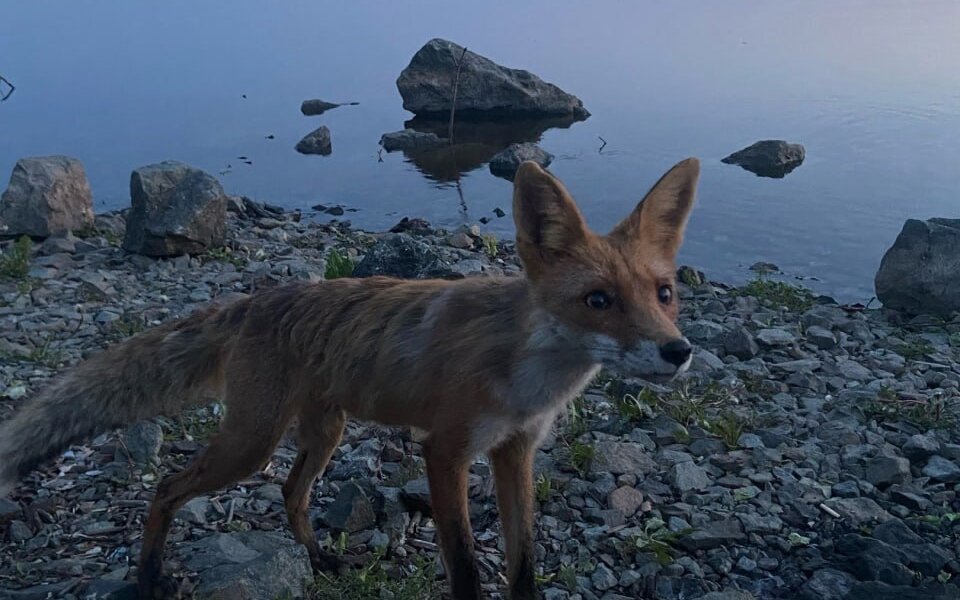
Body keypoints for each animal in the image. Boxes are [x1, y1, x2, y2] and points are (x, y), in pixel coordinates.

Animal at [0, 158, 699, 600]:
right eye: (599, 300)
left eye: (664, 294)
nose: (679, 351)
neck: (528, 378)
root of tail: (251, 302)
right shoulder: (446, 452)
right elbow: (467, 569)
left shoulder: (515, 451)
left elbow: (523, 566)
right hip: (250, 444)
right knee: (169, 487)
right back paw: (149, 578)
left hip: (324, 432)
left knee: (290, 493)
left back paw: (316, 559)